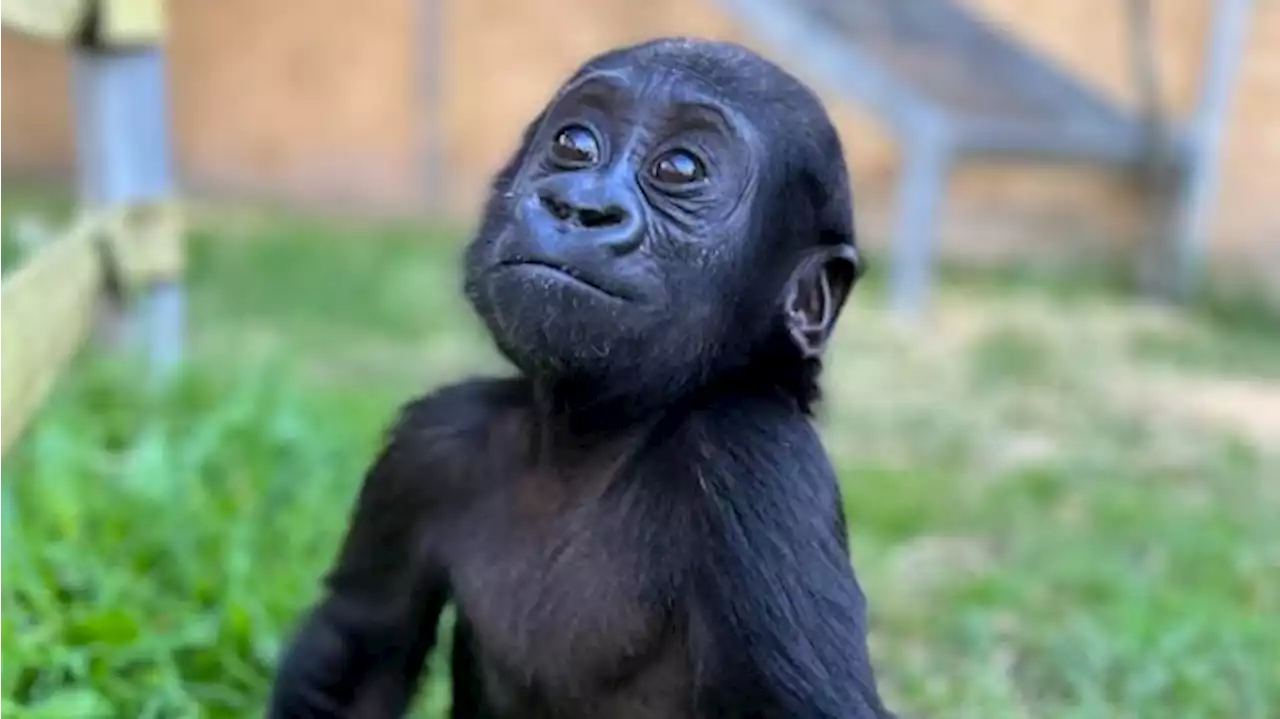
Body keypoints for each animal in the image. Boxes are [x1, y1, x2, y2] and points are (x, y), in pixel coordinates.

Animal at [266, 37, 896, 716]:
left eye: (680, 169)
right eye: (574, 144)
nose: (581, 207)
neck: (591, 439)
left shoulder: (756, 462)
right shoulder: (429, 446)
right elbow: (359, 644)